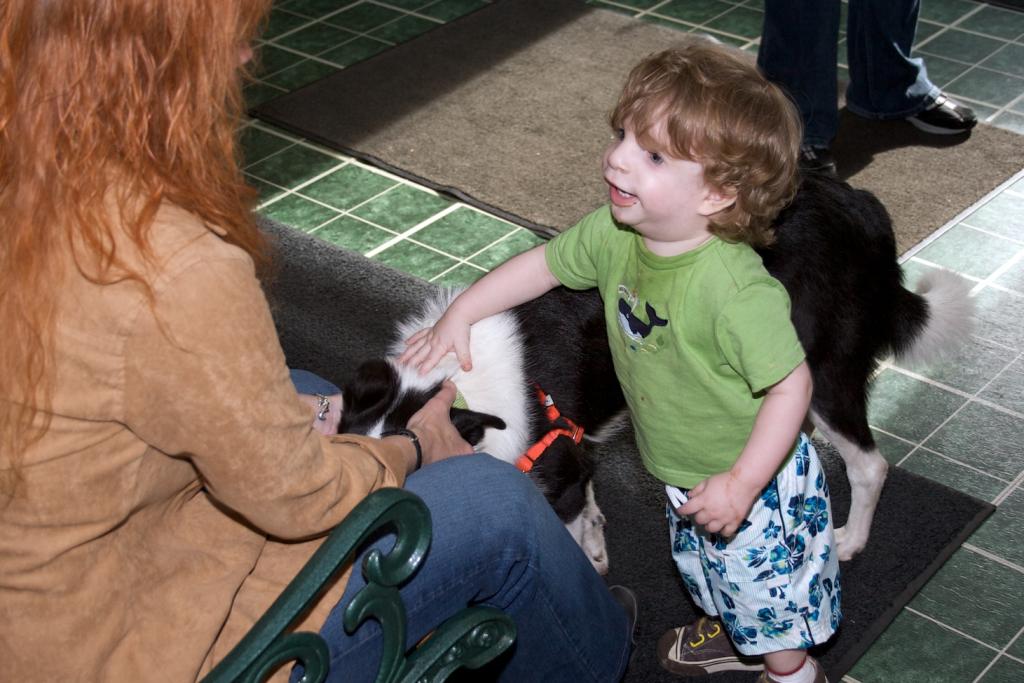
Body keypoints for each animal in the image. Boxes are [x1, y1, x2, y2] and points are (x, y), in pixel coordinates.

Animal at [333, 174, 966, 569]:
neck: (454, 385)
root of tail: (862, 205)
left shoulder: (554, 465)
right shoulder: (573, 453)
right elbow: (588, 508)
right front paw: (595, 543)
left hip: (821, 368)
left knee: (869, 464)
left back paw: (851, 540)